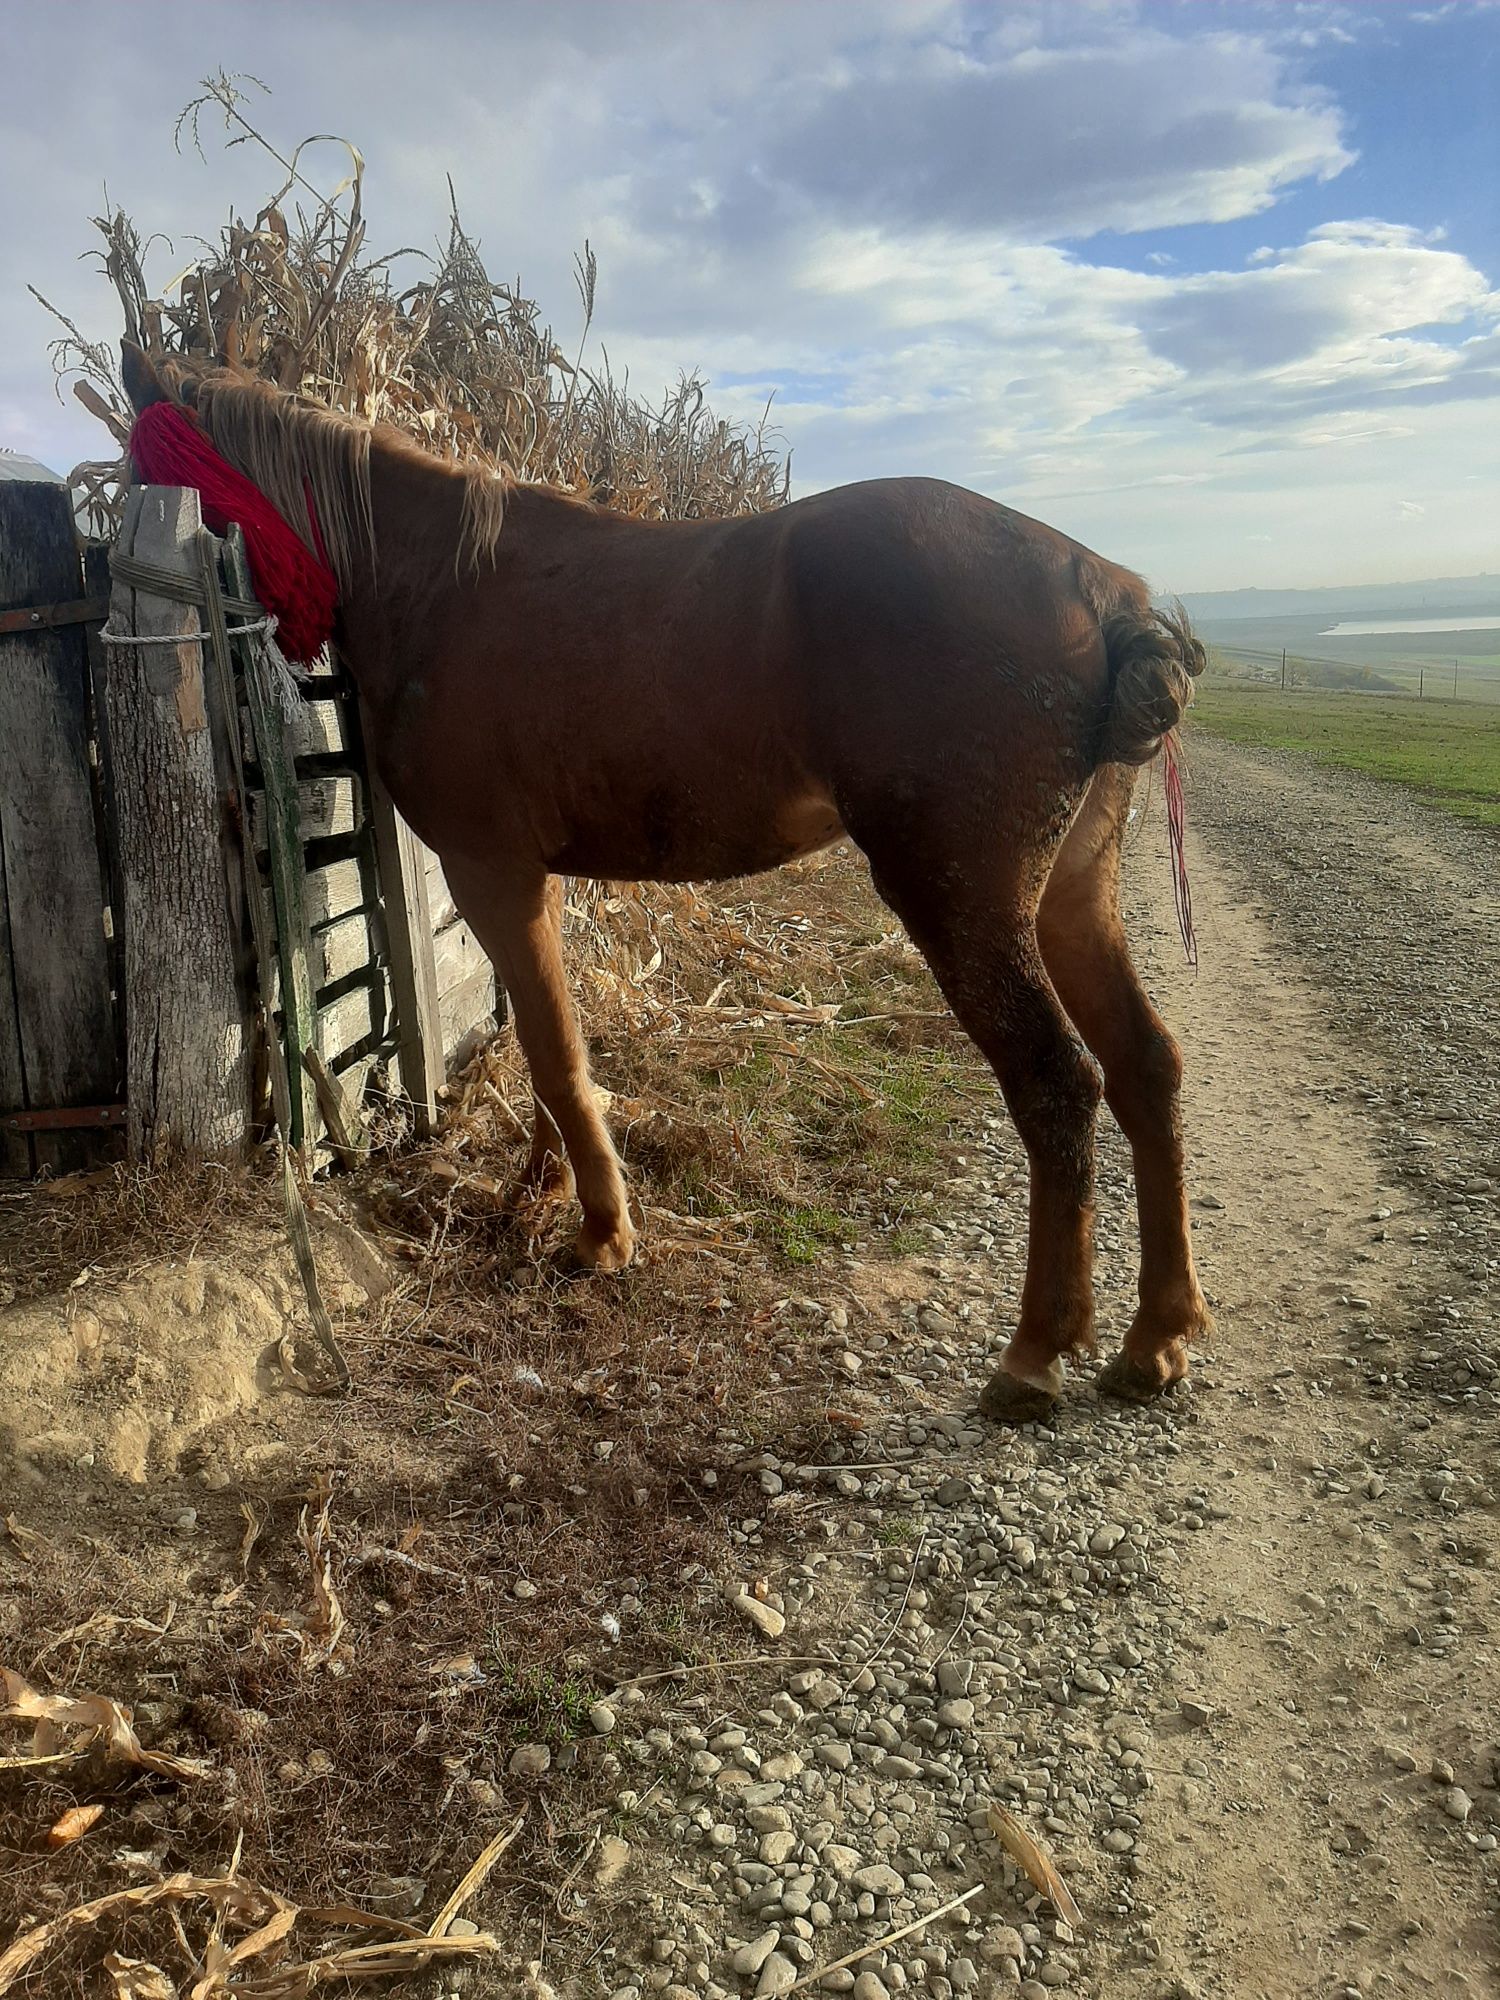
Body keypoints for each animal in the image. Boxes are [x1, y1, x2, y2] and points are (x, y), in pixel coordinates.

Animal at [123, 360, 1216, 1424]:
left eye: (142, 480)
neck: (440, 583)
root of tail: (1105, 593)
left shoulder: (494, 871)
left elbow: (554, 1052)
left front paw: (602, 1230)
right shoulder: (531, 880)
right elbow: (550, 1040)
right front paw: (557, 1194)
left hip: (966, 906)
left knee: (1057, 1085)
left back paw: (1035, 1353)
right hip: (1069, 896)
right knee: (1145, 1064)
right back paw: (1155, 1336)